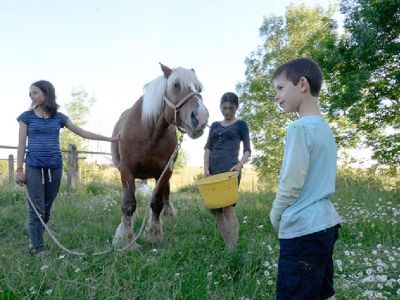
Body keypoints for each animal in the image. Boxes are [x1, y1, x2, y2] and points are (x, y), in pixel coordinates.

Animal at [111, 62, 208, 248]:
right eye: (176, 85)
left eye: (199, 88)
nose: (200, 117)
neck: (149, 133)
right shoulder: (126, 170)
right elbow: (128, 204)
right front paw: (126, 240)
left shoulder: (164, 171)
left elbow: (156, 203)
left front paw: (154, 235)